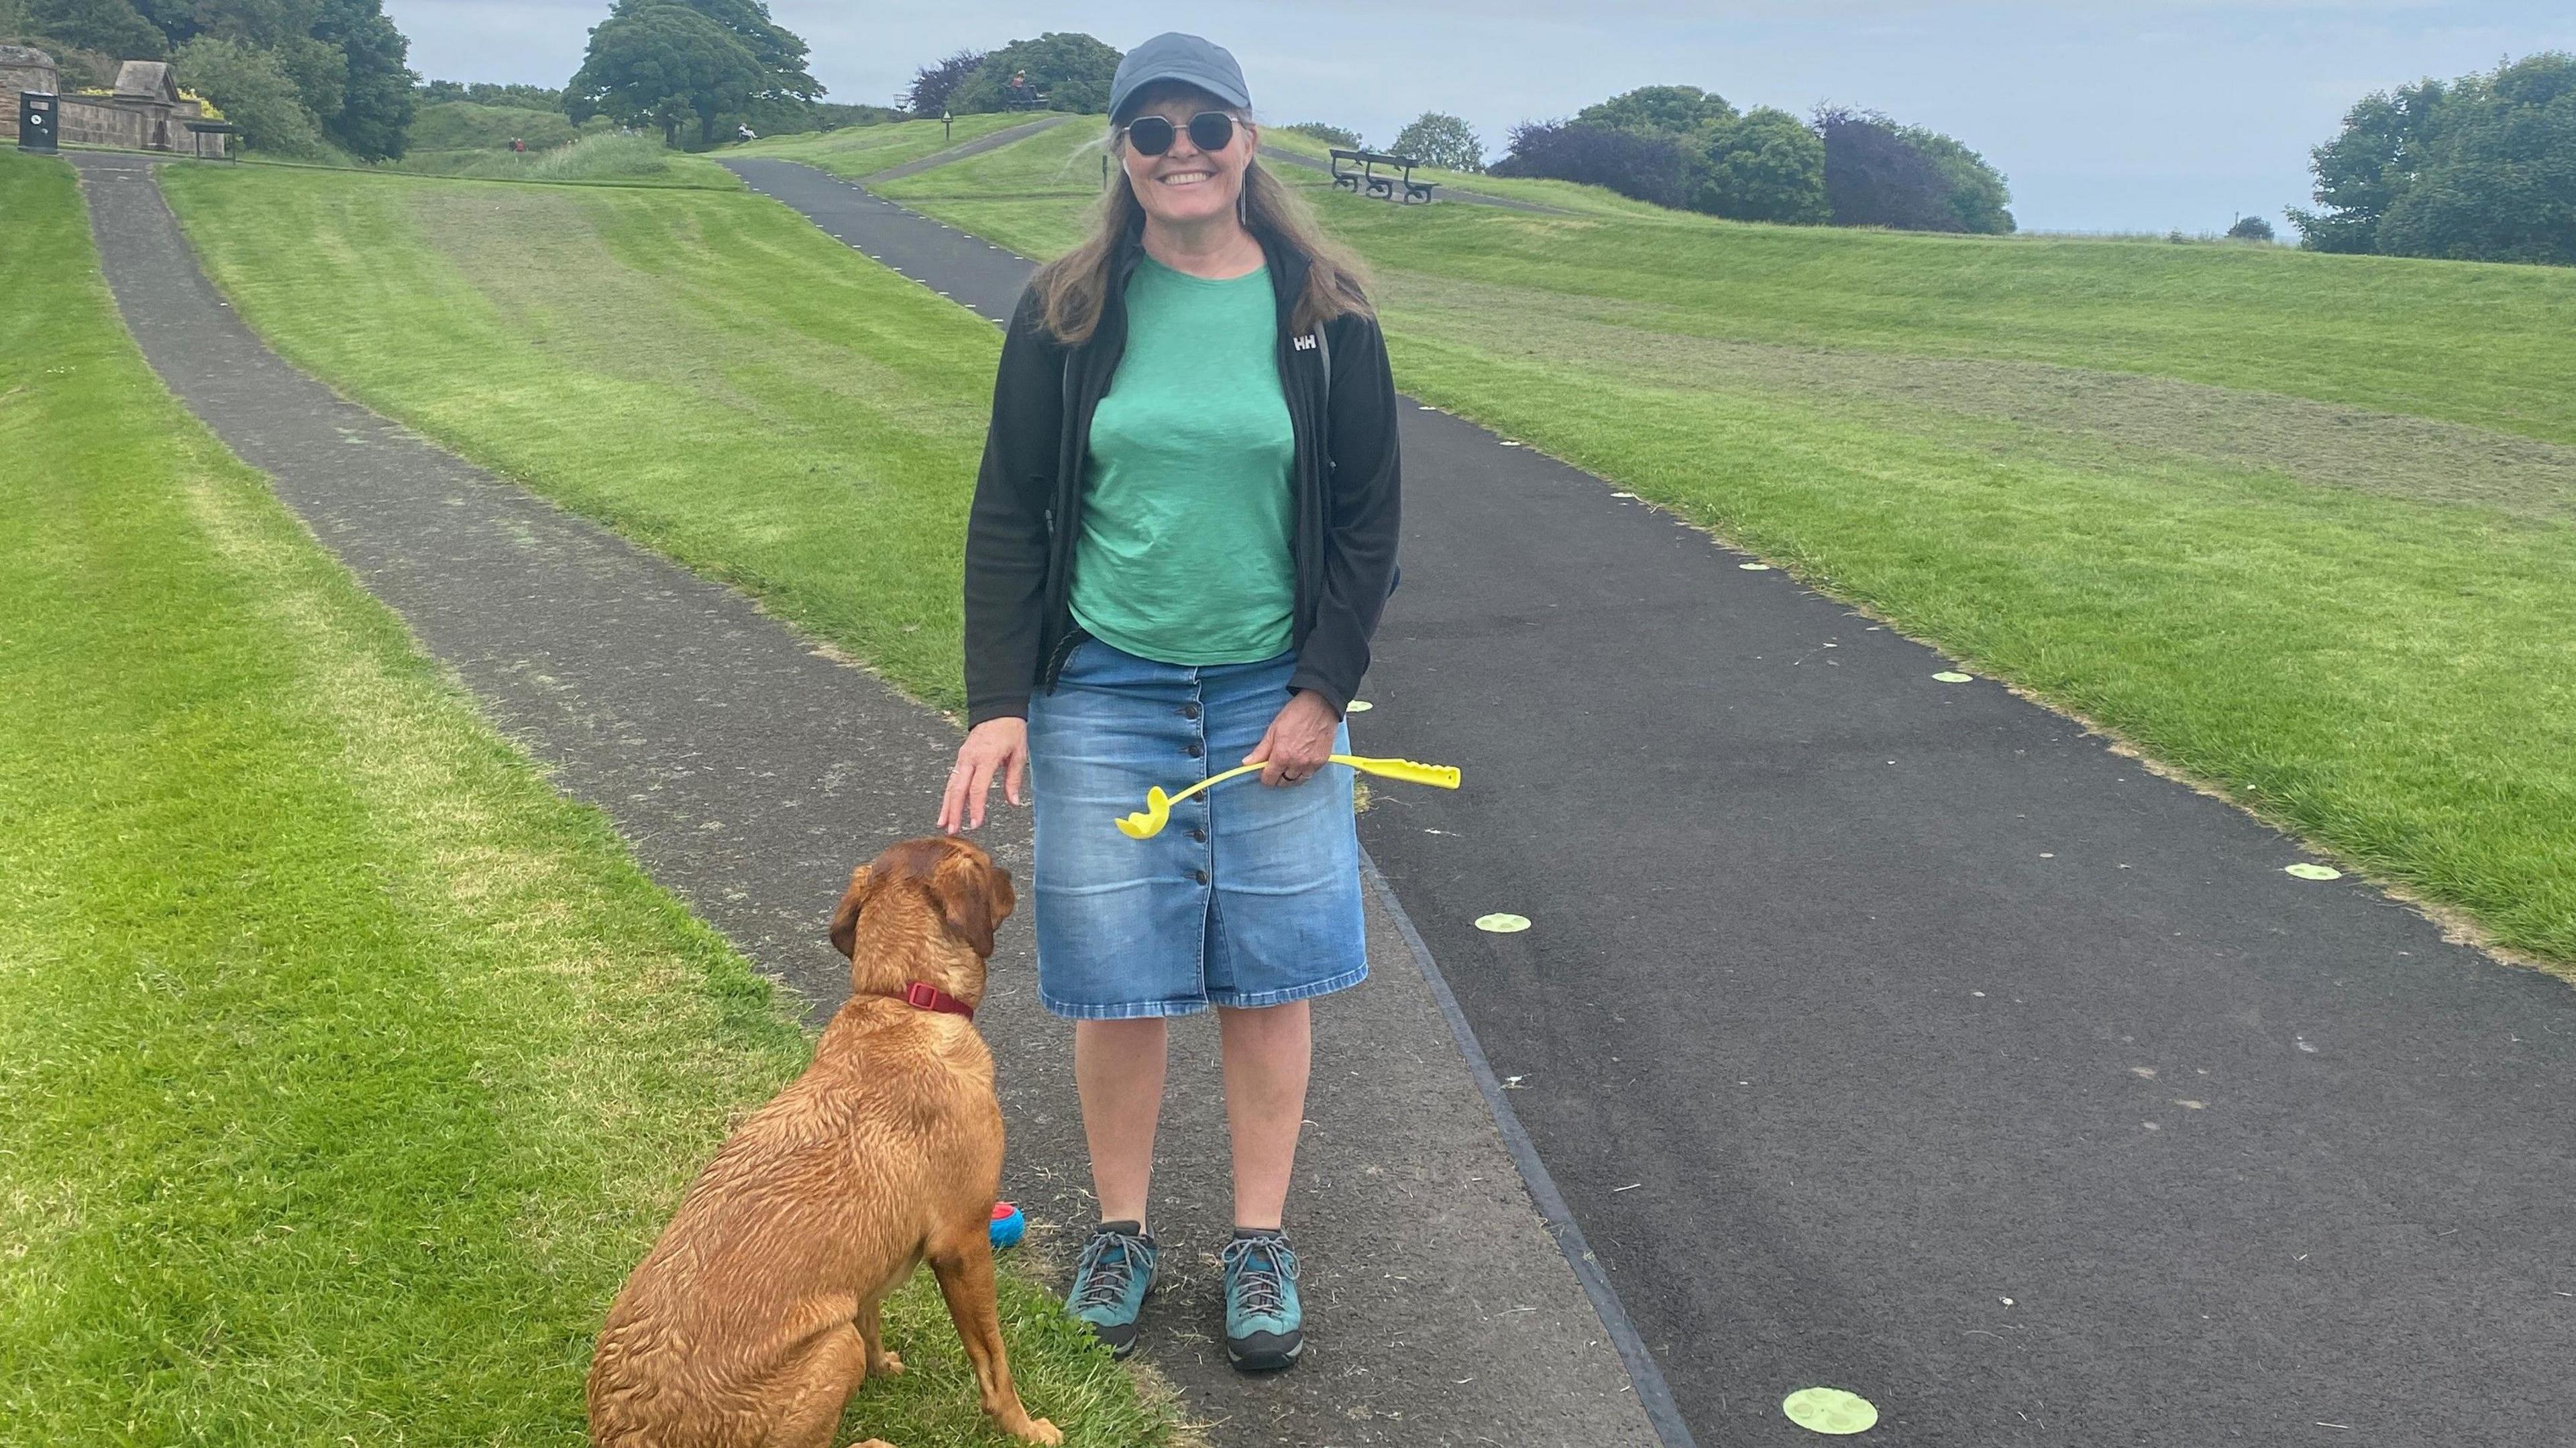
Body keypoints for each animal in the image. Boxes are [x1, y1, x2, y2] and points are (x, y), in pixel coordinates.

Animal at [587, 834, 1056, 1443]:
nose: (1015, 875)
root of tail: (626, 1430)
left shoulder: (871, 1269)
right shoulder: (964, 1243)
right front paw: (1025, 1427)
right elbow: (994, 1361)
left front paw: (885, 1368)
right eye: (981, 860)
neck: (903, 1000)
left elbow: (872, 1315)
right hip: (834, 1348)